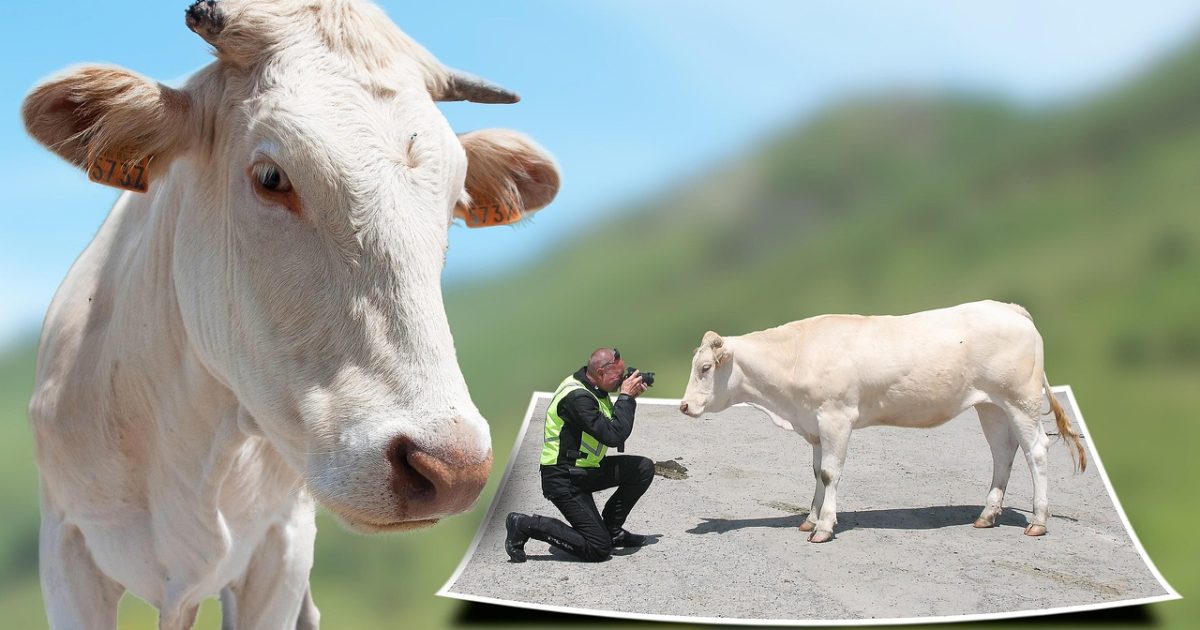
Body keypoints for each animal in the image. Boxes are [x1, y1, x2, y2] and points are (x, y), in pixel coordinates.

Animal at [679, 300, 1086, 544]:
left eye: (705, 368)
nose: (683, 405)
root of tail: (1009, 308)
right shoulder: (815, 423)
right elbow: (817, 472)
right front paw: (810, 518)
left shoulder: (836, 417)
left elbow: (831, 473)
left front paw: (824, 527)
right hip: (991, 405)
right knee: (1003, 452)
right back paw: (987, 515)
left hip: (1020, 400)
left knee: (1036, 450)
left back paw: (1038, 520)